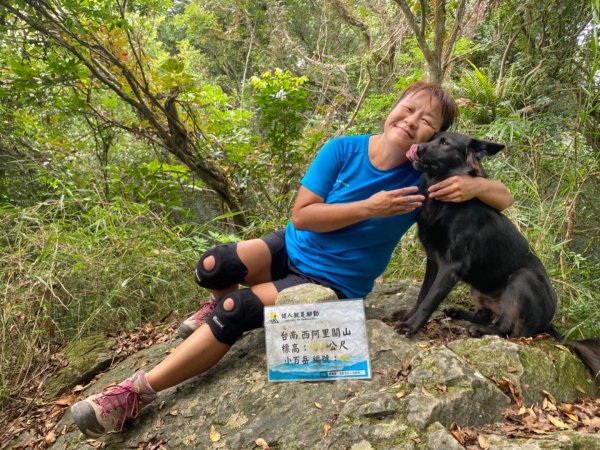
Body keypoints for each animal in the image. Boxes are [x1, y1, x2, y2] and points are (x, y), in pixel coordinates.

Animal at [392, 133, 596, 376]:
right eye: (432, 138)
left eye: (445, 143)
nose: (416, 147)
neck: (445, 202)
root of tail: (548, 324)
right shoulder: (433, 259)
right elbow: (423, 294)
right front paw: (408, 316)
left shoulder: (452, 266)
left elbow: (430, 300)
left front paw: (410, 326)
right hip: (479, 290)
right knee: (487, 315)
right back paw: (459, 313)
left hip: (522, 278)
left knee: (507, 328)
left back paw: (479, 330)